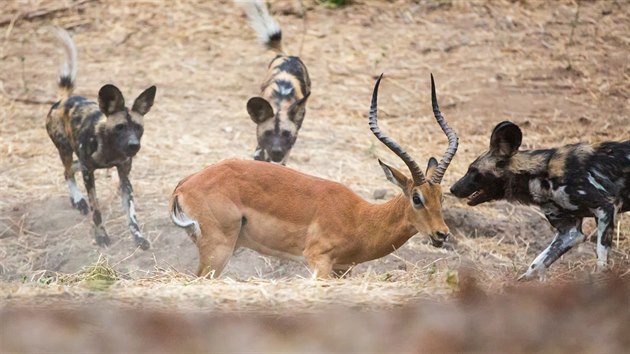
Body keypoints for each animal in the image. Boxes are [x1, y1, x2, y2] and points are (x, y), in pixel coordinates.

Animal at [45, 27, 157, 249]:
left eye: (138, 128)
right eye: (120, 127)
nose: (134, 146)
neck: (110, 150)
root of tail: (63, 100)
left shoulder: (124, 176)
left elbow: (132, 214)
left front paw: (138, 237)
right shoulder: (89, 175)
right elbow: (96, 209)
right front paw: (101, 236)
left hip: (77, 158)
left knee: (71, 169)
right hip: (65, 150)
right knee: (67, 172)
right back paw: (78, 200)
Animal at [238, 0, 312, 165]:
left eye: (286, 134)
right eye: (268, 133)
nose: (277, 151)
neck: (280, 103)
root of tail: (288, 56)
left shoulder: (288, 146)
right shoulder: (260, 148)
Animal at [452, 121, 628, 280]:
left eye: (473, 171)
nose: (452, 188)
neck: (540, 176)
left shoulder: (605, 207)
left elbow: (601, 258)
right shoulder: (569, 232)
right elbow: (535, 266)